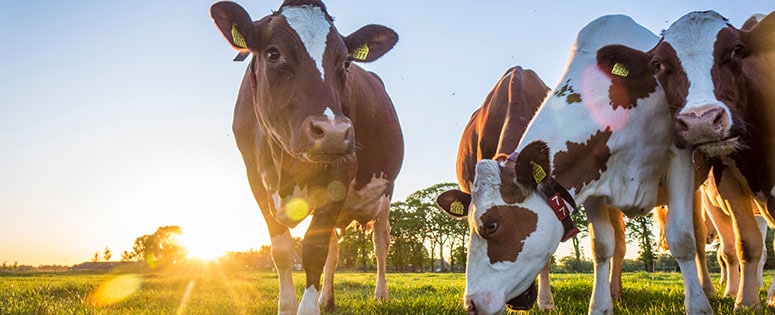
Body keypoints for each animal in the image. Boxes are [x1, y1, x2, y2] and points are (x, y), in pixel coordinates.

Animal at [212, 1, 406, 314]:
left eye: (347, 62)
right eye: (273, 53)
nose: (333, 132)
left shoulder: (341, 172)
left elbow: (314, 251)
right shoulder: (255, 180)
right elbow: (282, 250)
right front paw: (287, 306)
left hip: (385, 193)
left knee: (380, 242)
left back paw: (380, 294)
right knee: (335, 250)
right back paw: (327, 299)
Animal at [608, 9, 775, 312]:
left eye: (736, 50)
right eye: (658, 64)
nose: (701, 122)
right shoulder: (728, 180)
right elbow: (746, 244)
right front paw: (746, 302)